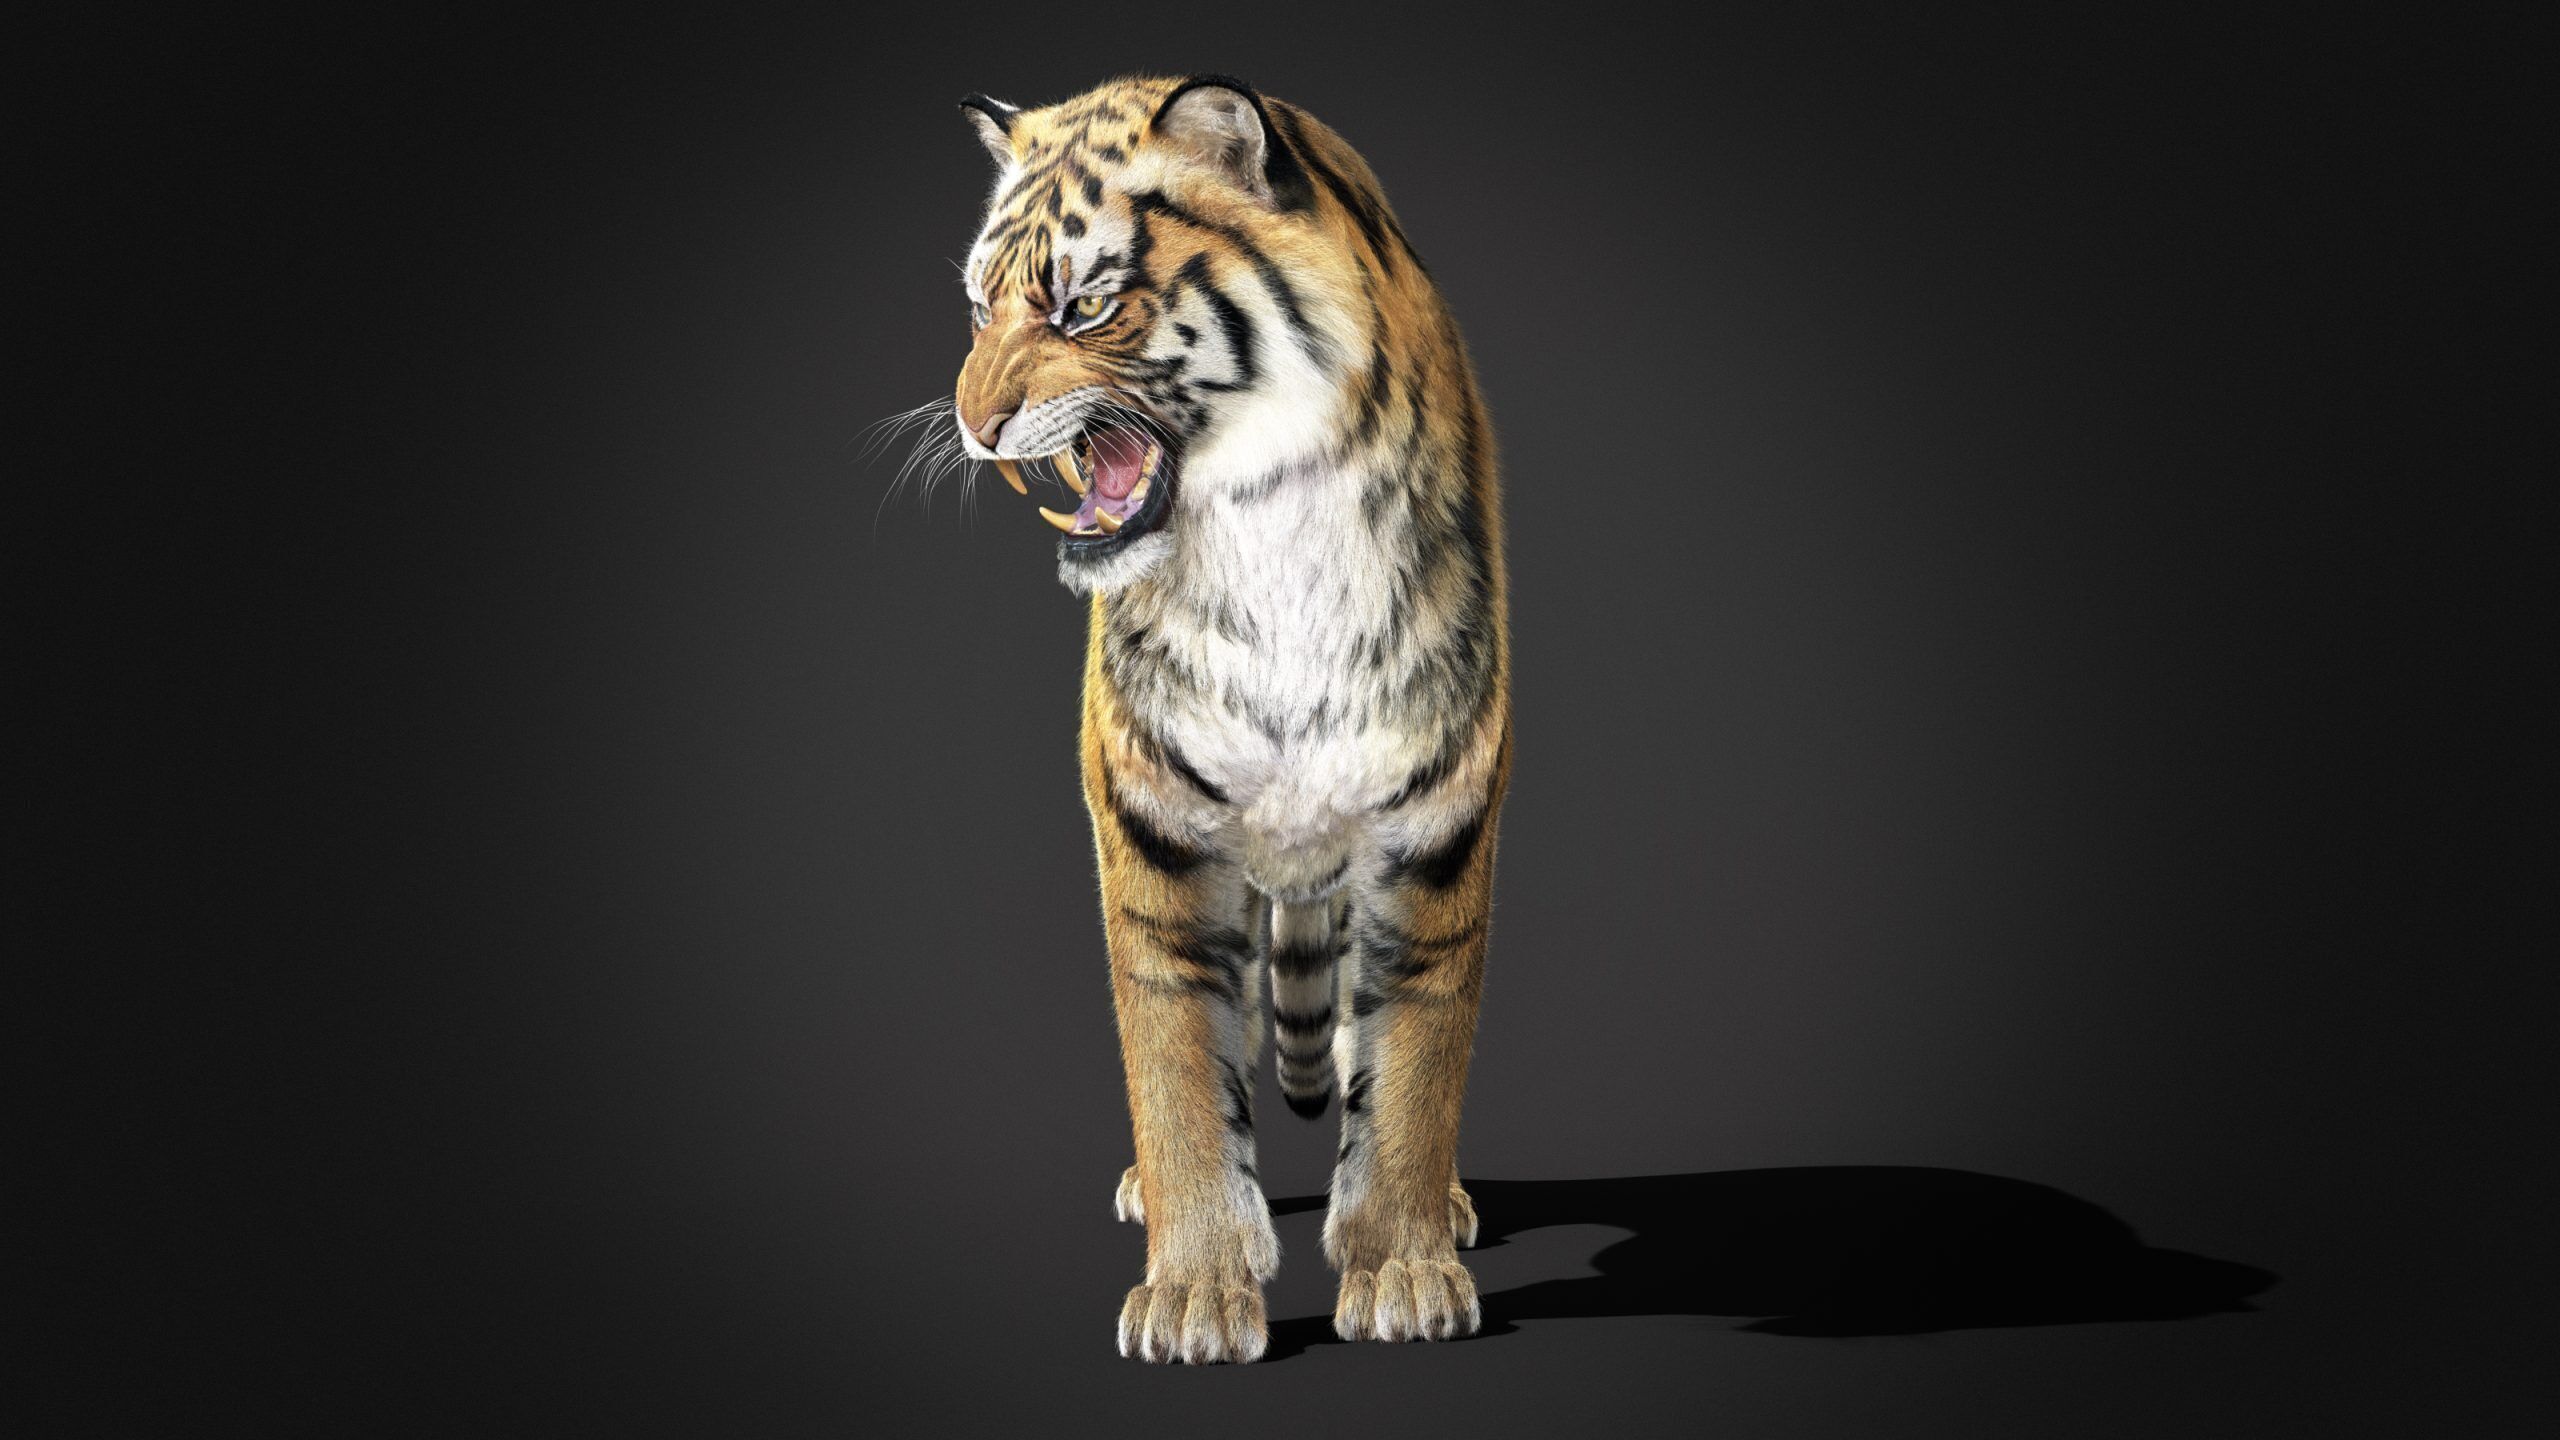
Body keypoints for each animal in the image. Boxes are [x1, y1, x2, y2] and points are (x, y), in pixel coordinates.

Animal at [943, 74, 1509, 1363]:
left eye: (1085, 303)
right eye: (978, 306)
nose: (973, 426)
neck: (1268, 540)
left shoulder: (1436, 826)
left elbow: (1413, 1068)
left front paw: (1402, 1271)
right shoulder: (1151, 830)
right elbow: (1178, 1074)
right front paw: (1196, 1292)